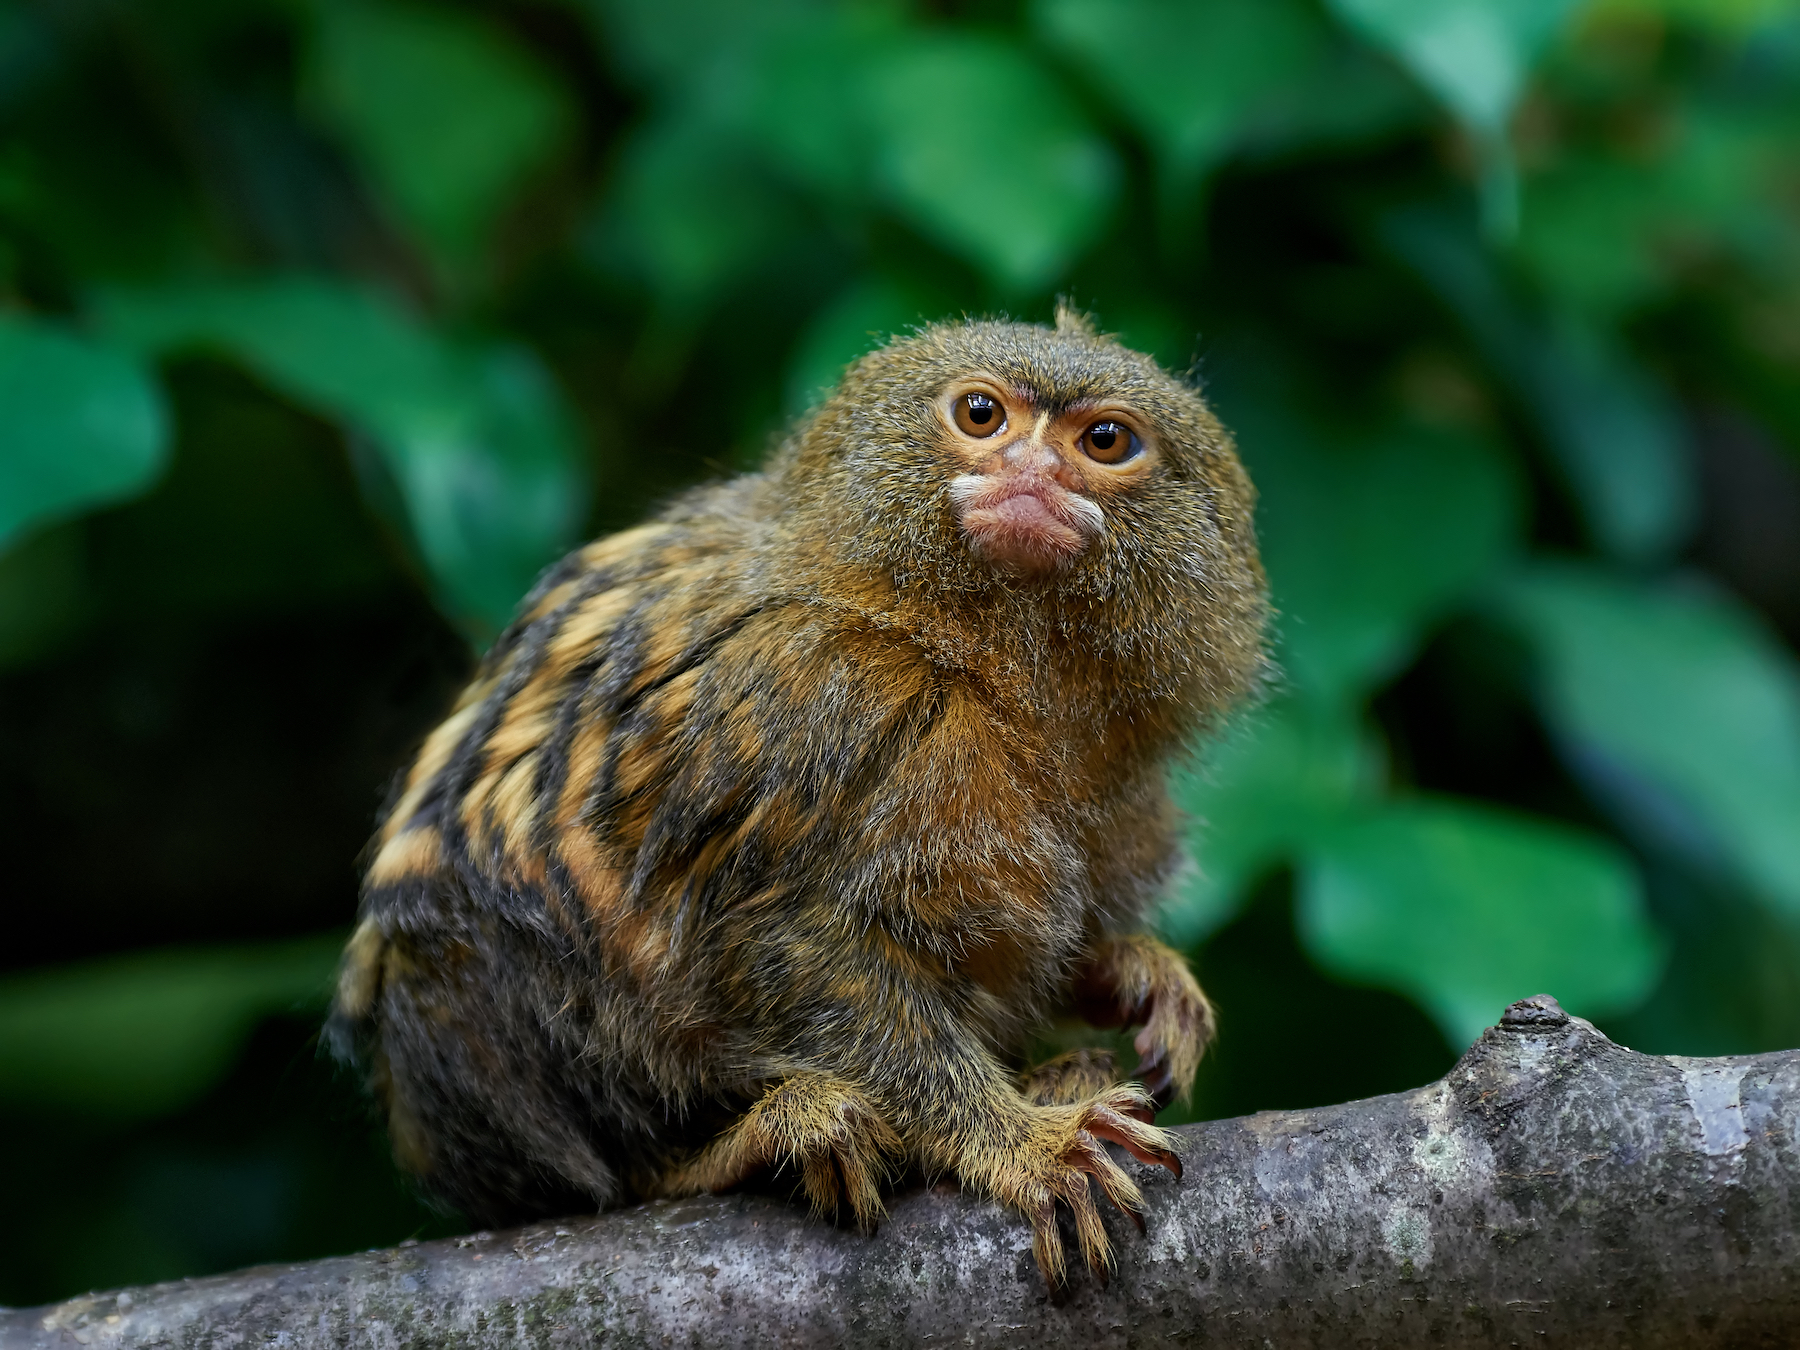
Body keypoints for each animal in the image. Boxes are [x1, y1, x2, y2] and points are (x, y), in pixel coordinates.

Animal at [328, 306, 1269, 1287]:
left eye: (1105, 441)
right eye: (980, 415)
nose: (1033, 473)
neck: (972, 656)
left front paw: (1131, 974)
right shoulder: (823, 698)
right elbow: (788, 943)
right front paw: (1021, 1143)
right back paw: (749, 1144)